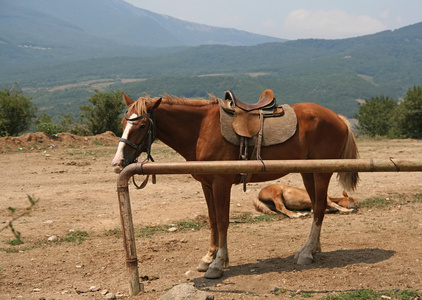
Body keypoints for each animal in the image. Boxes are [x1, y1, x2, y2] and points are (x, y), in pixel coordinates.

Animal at [110, 91, 358, 278]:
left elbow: (222, 222)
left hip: (321, 173)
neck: (201, 129)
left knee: (320, 208)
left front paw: (218, 264)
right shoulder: (207, 185)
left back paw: (307, 253)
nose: (117, 162)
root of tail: (338, 117)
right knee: (318, 206)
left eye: (142, 125)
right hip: (309, 173)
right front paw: (208, 258)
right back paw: (311, 249)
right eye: (123, 122)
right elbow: (212, 221)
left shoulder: (221, 183)